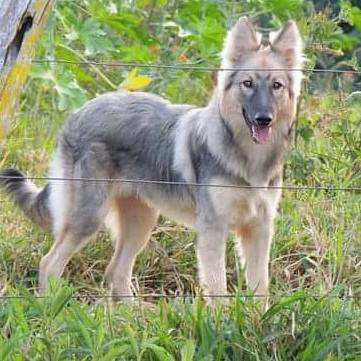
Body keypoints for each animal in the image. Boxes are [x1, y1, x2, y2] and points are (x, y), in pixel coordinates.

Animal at [0, 17, 304, 300]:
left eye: (276, 86)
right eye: (248, 84)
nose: (263, 119)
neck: (247, 159)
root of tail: (78, 112)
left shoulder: (259, 229)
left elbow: (260, 288)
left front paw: (256, 319)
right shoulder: (213, 230)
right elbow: (218, 289)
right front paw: (224, 322)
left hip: (141, 222)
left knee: (115, 271)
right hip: (89, 218)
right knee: (49, 264)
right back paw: (50, 309)